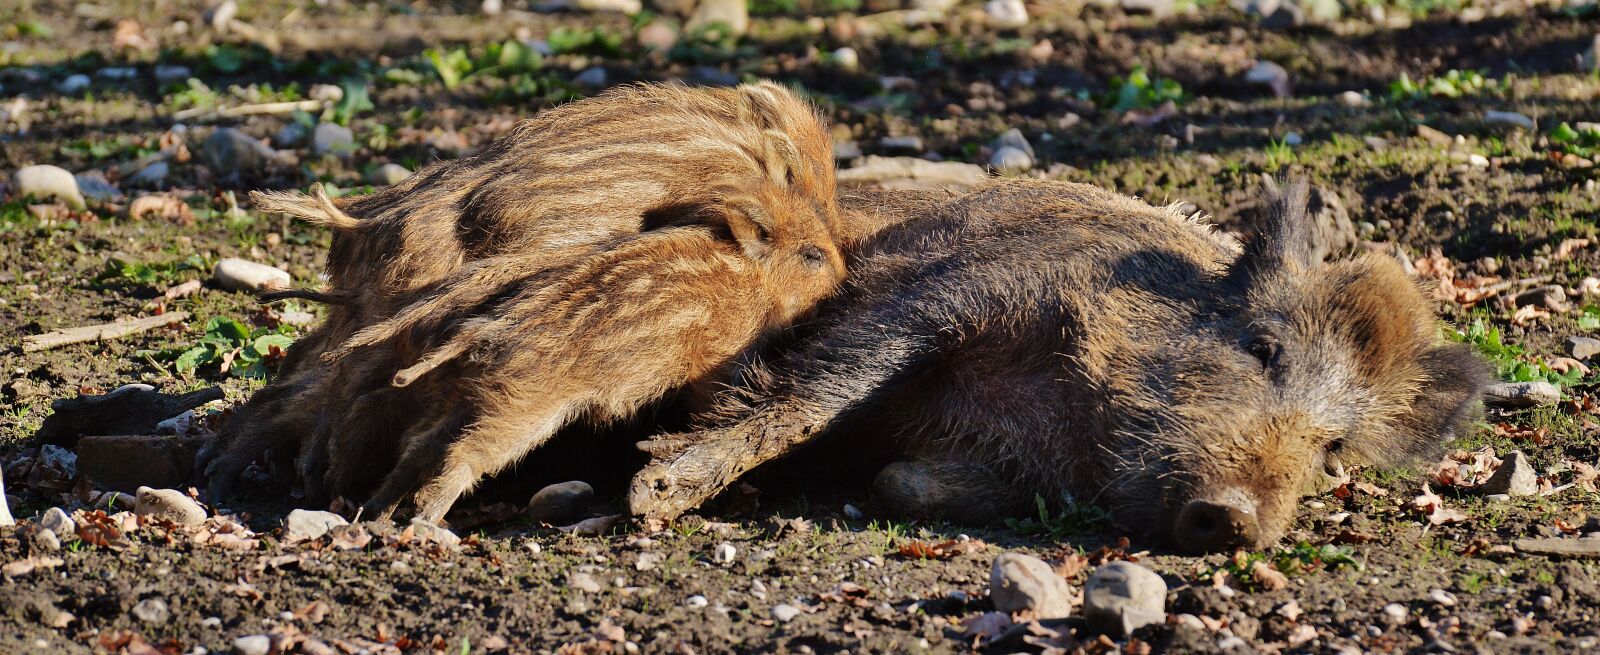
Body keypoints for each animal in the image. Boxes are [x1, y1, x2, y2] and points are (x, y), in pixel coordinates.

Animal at [628, 178, 1489, 552]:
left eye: (1332, 445)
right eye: (1262, 347)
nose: (1235, 516)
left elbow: (902, 479)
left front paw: (895, 479)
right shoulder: (954, 290)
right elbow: (815, 392)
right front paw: (654, 493)